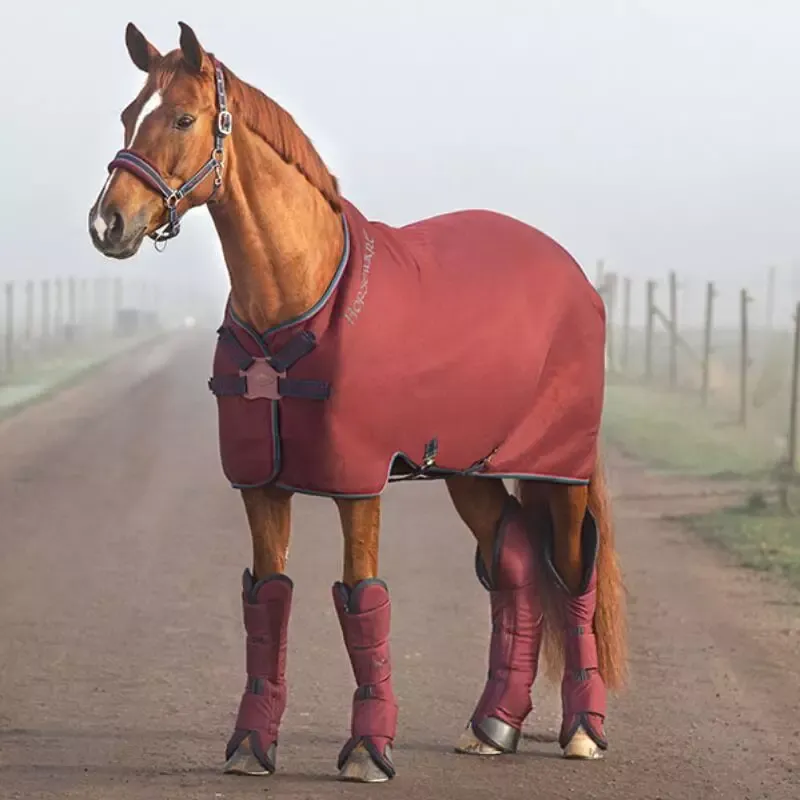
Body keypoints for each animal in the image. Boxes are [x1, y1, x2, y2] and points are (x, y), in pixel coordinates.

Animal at [88, 21, 627, 784]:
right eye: (129, 113)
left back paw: (583, 728)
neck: (300, 294)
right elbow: (268, 599)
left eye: (184, 118)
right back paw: (493, 724)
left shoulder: (359, 483)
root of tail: (576, 276)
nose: (108, 224)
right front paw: (251, 744)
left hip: (561, 467)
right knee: (514, 562)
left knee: (574, 570)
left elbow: (361, 600)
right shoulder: (260, 484)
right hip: (468, 468)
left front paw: (369, 749)